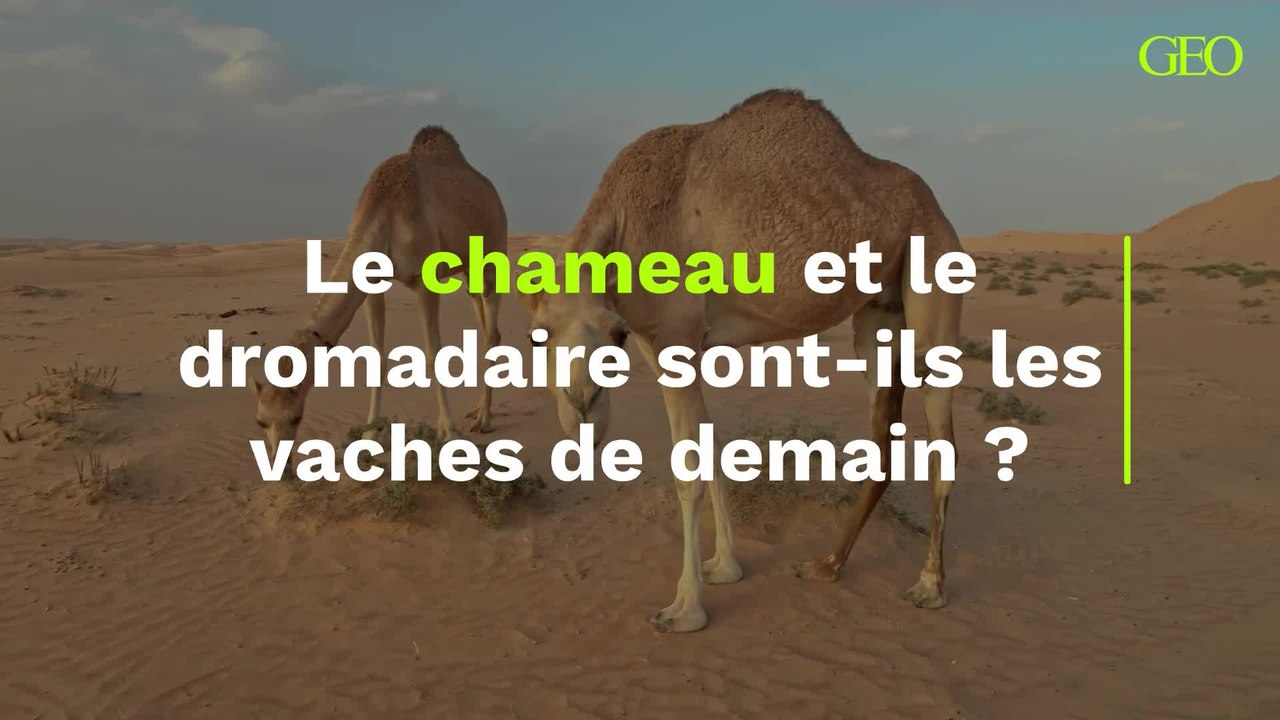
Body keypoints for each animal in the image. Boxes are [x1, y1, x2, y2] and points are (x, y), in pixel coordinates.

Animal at [253, 126, 507, 457]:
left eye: (295, 417)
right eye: (260, 421)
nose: (278, 463)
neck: (385, 212)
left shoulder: (424, 280)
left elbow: (433, 354)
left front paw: (449, 432)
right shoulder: (371, 282)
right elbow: (377, 356)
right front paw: (371, 435)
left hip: (493, 253)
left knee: (491, 332)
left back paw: (485, 420)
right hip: (467, 271)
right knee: (485, 324)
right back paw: (477, 410)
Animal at [519, 89, 964, 633]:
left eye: (615, 336)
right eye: (537, 337)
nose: (582, 403)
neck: (629, 222)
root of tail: (935, 206)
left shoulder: (673, 338)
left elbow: (687, 471)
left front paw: (685, 607)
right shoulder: (664, 343)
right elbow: (711, 449)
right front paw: (724, 566)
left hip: (933, 266)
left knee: (943, 446)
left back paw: (929, 585)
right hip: (879, 315)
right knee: (883, 441)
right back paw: (826, 565)